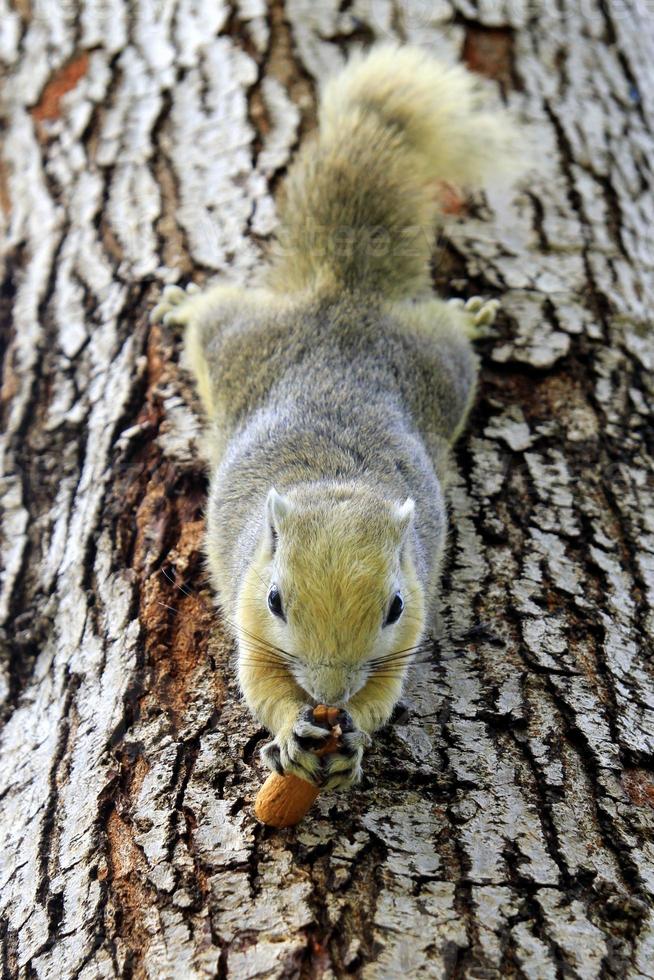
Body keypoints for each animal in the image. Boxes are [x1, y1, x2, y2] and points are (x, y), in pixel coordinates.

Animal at [154, 46, 524, 792]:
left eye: (394, 607)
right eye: (275, 601)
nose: (328, 695)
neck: (336, 484)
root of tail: (341, 297)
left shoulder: (408, 625)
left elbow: (383, 693)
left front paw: (353, 732)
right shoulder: (246, 608)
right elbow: (262, 684)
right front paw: (291, 735)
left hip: (443, 370)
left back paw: (470, 315)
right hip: (237, 343)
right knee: (214, 313)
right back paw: (181, 305)